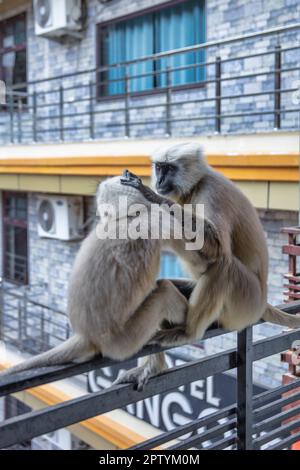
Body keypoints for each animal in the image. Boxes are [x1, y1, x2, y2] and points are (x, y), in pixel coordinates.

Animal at [119, 143, 300, 386]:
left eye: (169, 169)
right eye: (159, 168)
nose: (159, 180)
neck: (195, 186)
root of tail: (262, 302)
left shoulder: (210, 192)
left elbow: (217, 248)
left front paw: (150, 196)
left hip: (246, 303)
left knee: (224, 266)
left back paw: (189, 333)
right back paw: (154, 367)